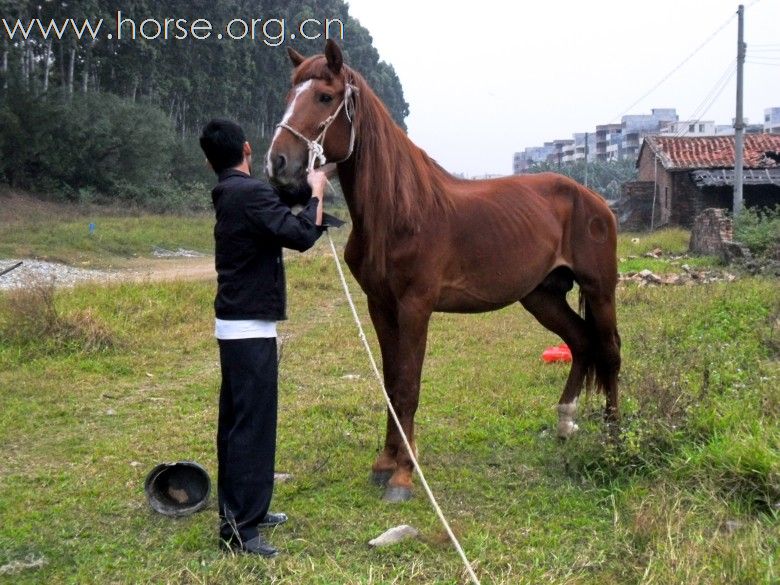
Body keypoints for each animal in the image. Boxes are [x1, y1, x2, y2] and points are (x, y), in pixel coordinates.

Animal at [268, 40, 620, 502]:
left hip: (600, 289)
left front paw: (402, 475)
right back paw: (564, 424)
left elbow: (407, 387)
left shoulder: (416, 307)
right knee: (581, 341)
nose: (277, 163)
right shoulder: (381, 306)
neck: (398, 210)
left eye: (325, 97)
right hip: (542, 296)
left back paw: (616, 441)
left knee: (609, 352)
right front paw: (386, 463)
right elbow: (391, 383)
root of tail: (594, 199)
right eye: (289, 96)